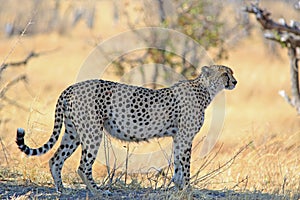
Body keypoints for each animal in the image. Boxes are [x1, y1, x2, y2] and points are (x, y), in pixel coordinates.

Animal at [15, 65, 237, 193]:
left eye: (231, 73)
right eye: (225, 73)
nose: (235, 81)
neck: (205, 89)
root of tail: (72, 87)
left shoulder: (178, 137)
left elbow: (177, 164)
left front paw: (179, 186)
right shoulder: (185, 137)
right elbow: (185, 165)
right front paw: (188, 189)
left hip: (73, 132)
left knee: (55, 159)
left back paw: (62, 190)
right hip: (92, 132)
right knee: (83, 166)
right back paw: (98, 192)